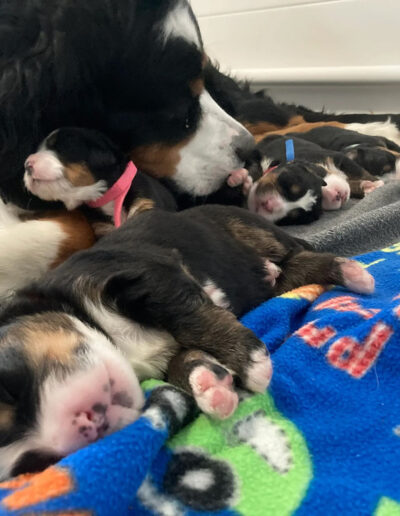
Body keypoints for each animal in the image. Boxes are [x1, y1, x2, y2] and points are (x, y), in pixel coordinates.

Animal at [0, 204, 376, 478]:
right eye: (35, 464)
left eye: (10, 389)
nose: (86, 425)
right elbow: (181, 360)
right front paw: (209, 383)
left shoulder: (147, 274)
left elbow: (188, 316)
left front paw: (250, 363)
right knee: (290, 272)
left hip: (242, 226)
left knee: (297, 252)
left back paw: (352, 272)